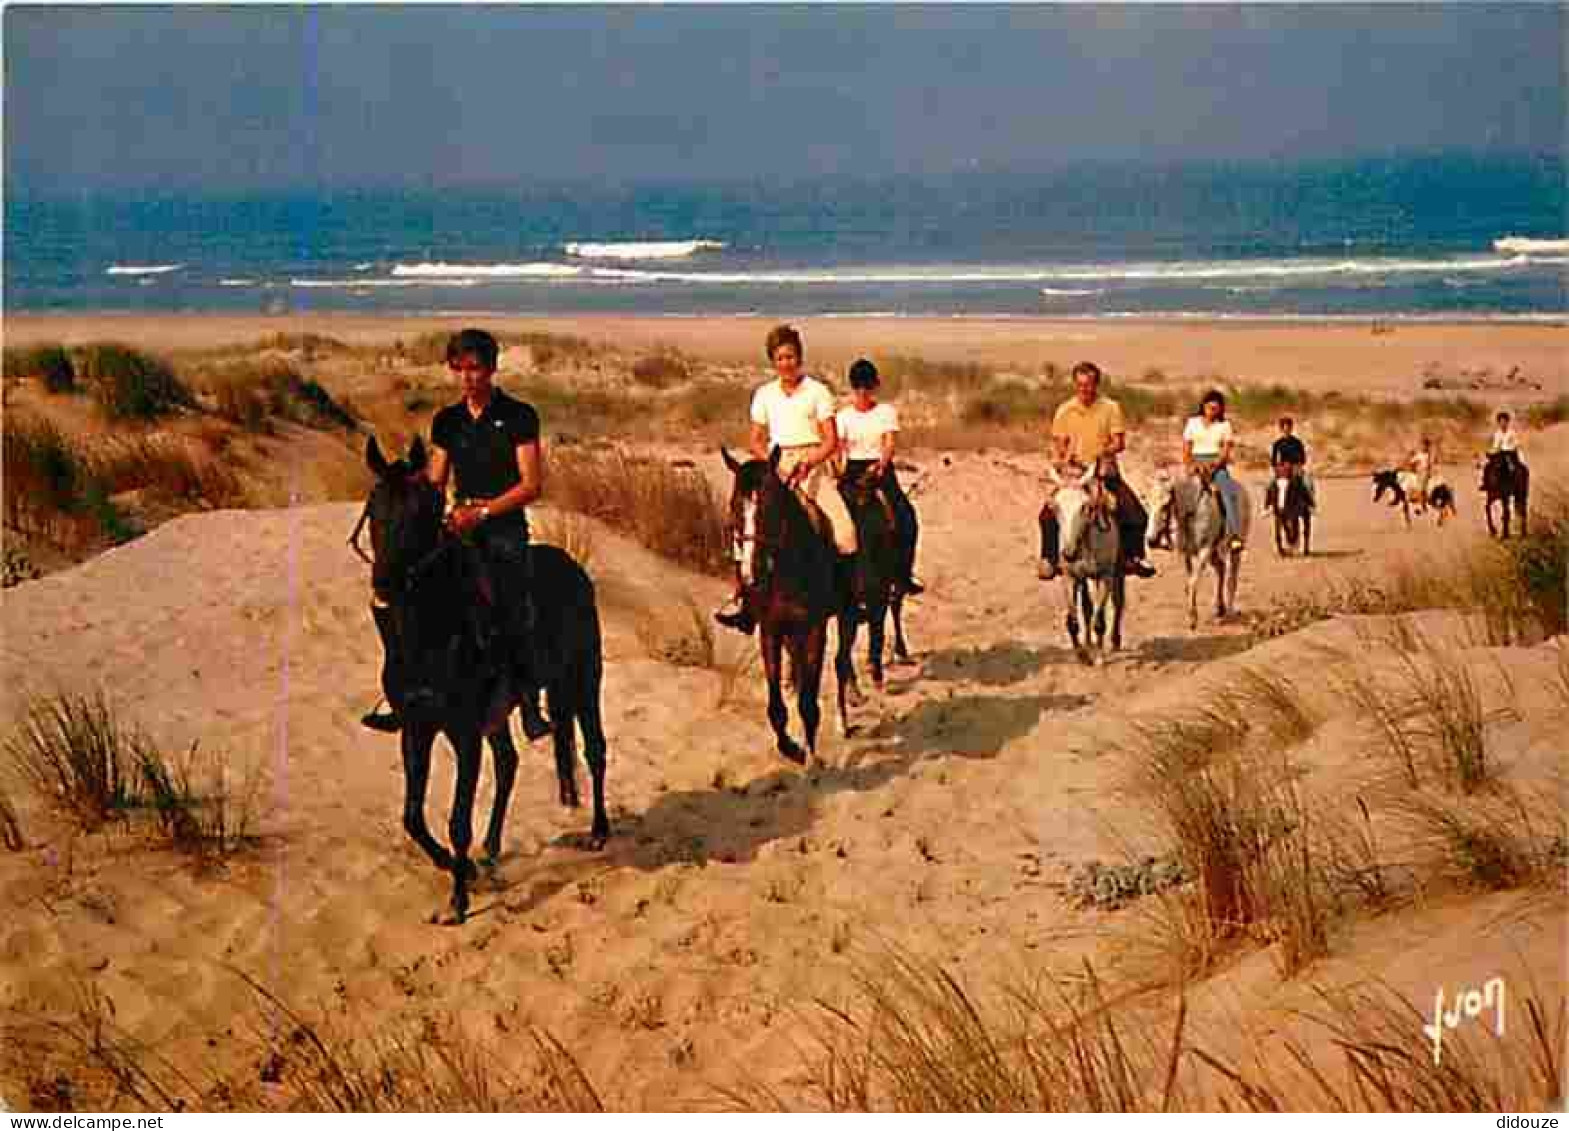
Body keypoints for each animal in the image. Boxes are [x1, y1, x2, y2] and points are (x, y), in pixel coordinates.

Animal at [362, 436, 611, 922]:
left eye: (419, 511)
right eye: (374, 507)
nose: (385, 583)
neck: (431, 634)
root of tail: (574, 569)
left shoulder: (464, 733)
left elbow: (458, 819)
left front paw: (458, 900)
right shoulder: (417, 728)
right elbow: (412, 816)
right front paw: (459, 868)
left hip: (584, 680)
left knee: (594, 750)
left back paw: (598, 831)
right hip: (505, 713)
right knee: (509, 763)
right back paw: (492, 850)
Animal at [718, 448, 853, 759]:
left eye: (769, 509)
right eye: (734, 507)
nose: (751, 575)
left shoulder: (815, 628)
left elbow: (808, 702)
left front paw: (811, 755)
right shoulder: (771, 630)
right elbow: (777, 706)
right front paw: (791, 747)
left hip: (846, 616)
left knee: (842, 663)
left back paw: (843, 723)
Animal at [1142, 464, 1248, 630]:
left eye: (1166, 505)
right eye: (1147, 503)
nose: (1151, 540)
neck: (1191, 512)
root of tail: (1242, 491)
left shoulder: (1204, 551)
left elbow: (1193, 583)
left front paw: (1193, 618)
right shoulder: (1184, 553)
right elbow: (1188, 583)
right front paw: (1191, 616)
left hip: (1233, 550)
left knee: (1232, 578)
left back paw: (1229, 610)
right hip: (1214, 553)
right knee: (1221, 569)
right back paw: (1219, 608)